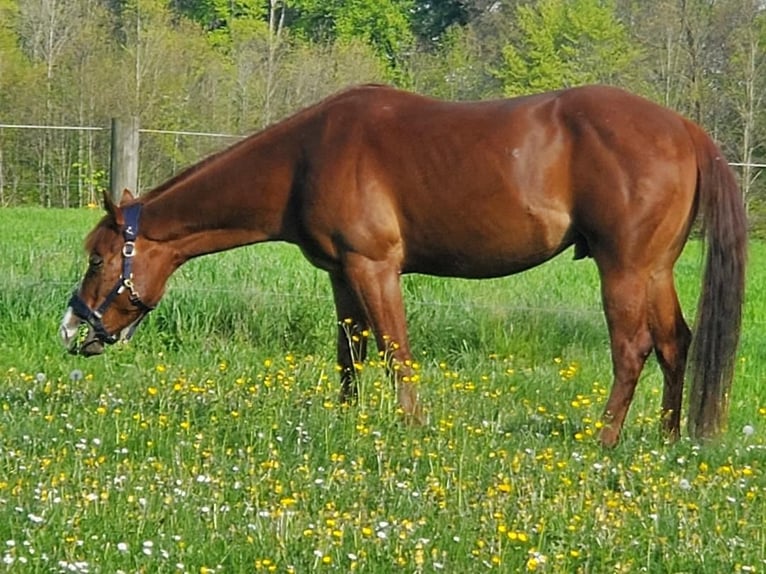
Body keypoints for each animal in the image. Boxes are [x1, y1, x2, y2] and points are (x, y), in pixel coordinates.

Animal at [60, 83, 752, 448]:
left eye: (97, 258)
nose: (72, 329)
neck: (307, 157)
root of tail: (684, 128)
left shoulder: (375, 268)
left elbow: (396, 351)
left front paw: (412, 429)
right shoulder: (341, 274)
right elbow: (351, 353)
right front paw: (346, 422)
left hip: (624, 270)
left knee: (633, 348)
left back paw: (604, 441)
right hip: (655, 270)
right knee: (676, 344)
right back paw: (668, 439)